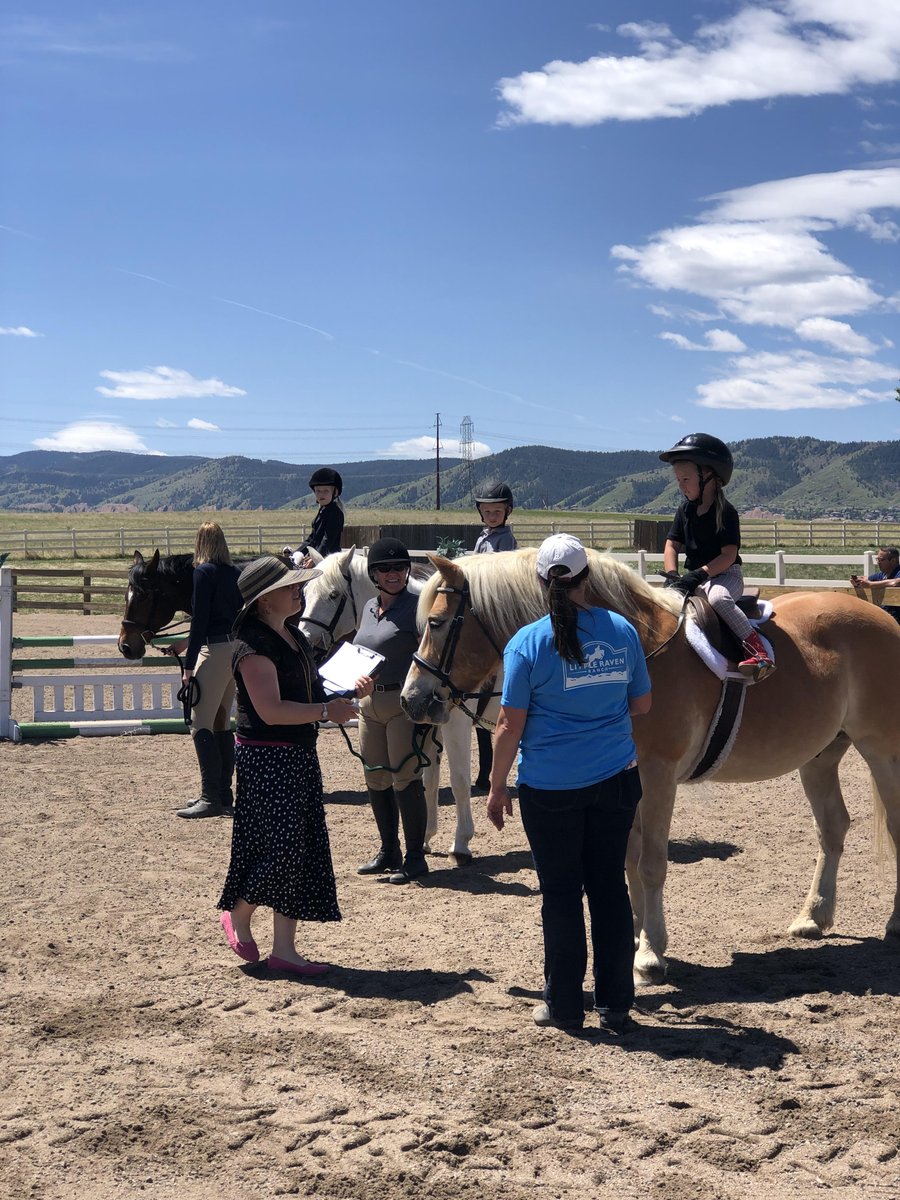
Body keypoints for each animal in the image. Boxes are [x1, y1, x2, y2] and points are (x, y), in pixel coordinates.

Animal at [295, 546, 488, 864]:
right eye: (306, 593)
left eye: (333, 595)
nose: (307, 642)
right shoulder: (427, 723)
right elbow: (427, 780)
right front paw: (425, 838)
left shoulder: (455, 722)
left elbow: (459, 781)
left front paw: (461, 843)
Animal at [400, 548, 900, 984]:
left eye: (437, 623)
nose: (412, 699)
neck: (637, 650)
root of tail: (884, 619)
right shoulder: (622, 782)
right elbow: (627, 860)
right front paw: (637, 940)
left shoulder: (657, 776)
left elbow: (651, 863)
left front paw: (651, 955)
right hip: (821, 757)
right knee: (833, 827)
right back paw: (814, 917)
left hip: (881, 751)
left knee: (892, 829)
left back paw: (892, 924)